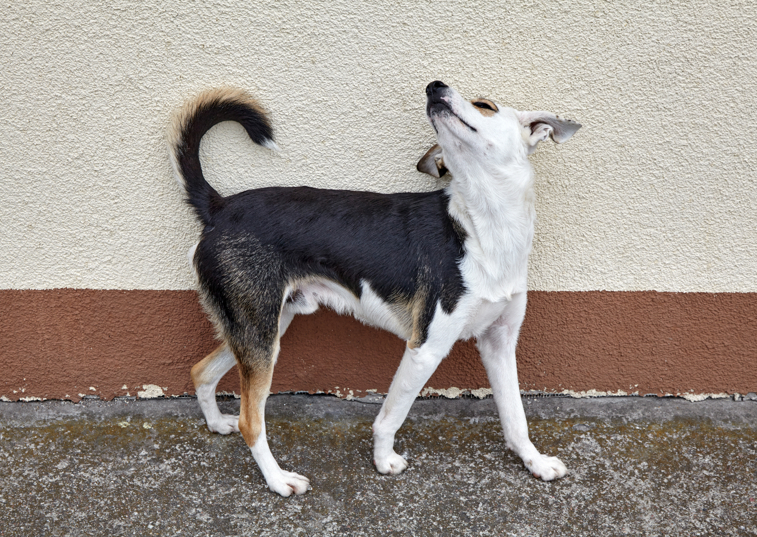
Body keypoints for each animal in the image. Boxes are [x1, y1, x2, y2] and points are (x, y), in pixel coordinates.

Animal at [165, 79, 580, 494]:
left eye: (486, 105)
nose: (434, 87)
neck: (484, 224)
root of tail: (220, 207)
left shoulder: (500, 342)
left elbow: (516, 417)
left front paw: (535, 462)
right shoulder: (424, 348)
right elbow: (391, 416)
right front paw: (383, 461)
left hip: (263, 326)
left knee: (202, 372)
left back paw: (217, 424)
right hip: (261, 334)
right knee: (251, 421)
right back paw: (279, 480)